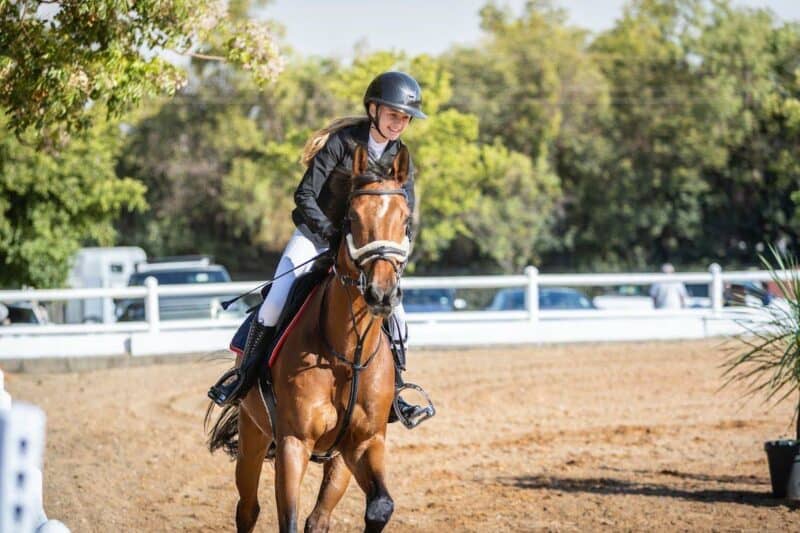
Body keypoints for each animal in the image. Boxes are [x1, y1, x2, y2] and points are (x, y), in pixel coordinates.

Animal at [207, 143, 412, 533]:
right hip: (253, 435)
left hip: (337, 458)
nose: (381, 293)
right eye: (352, 218)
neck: (347, 354)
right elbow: (287, 518)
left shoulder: (364, 443)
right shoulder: (293, 443)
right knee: (248, 508)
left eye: (405, 220)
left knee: (319, 518)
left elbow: (380, 507)